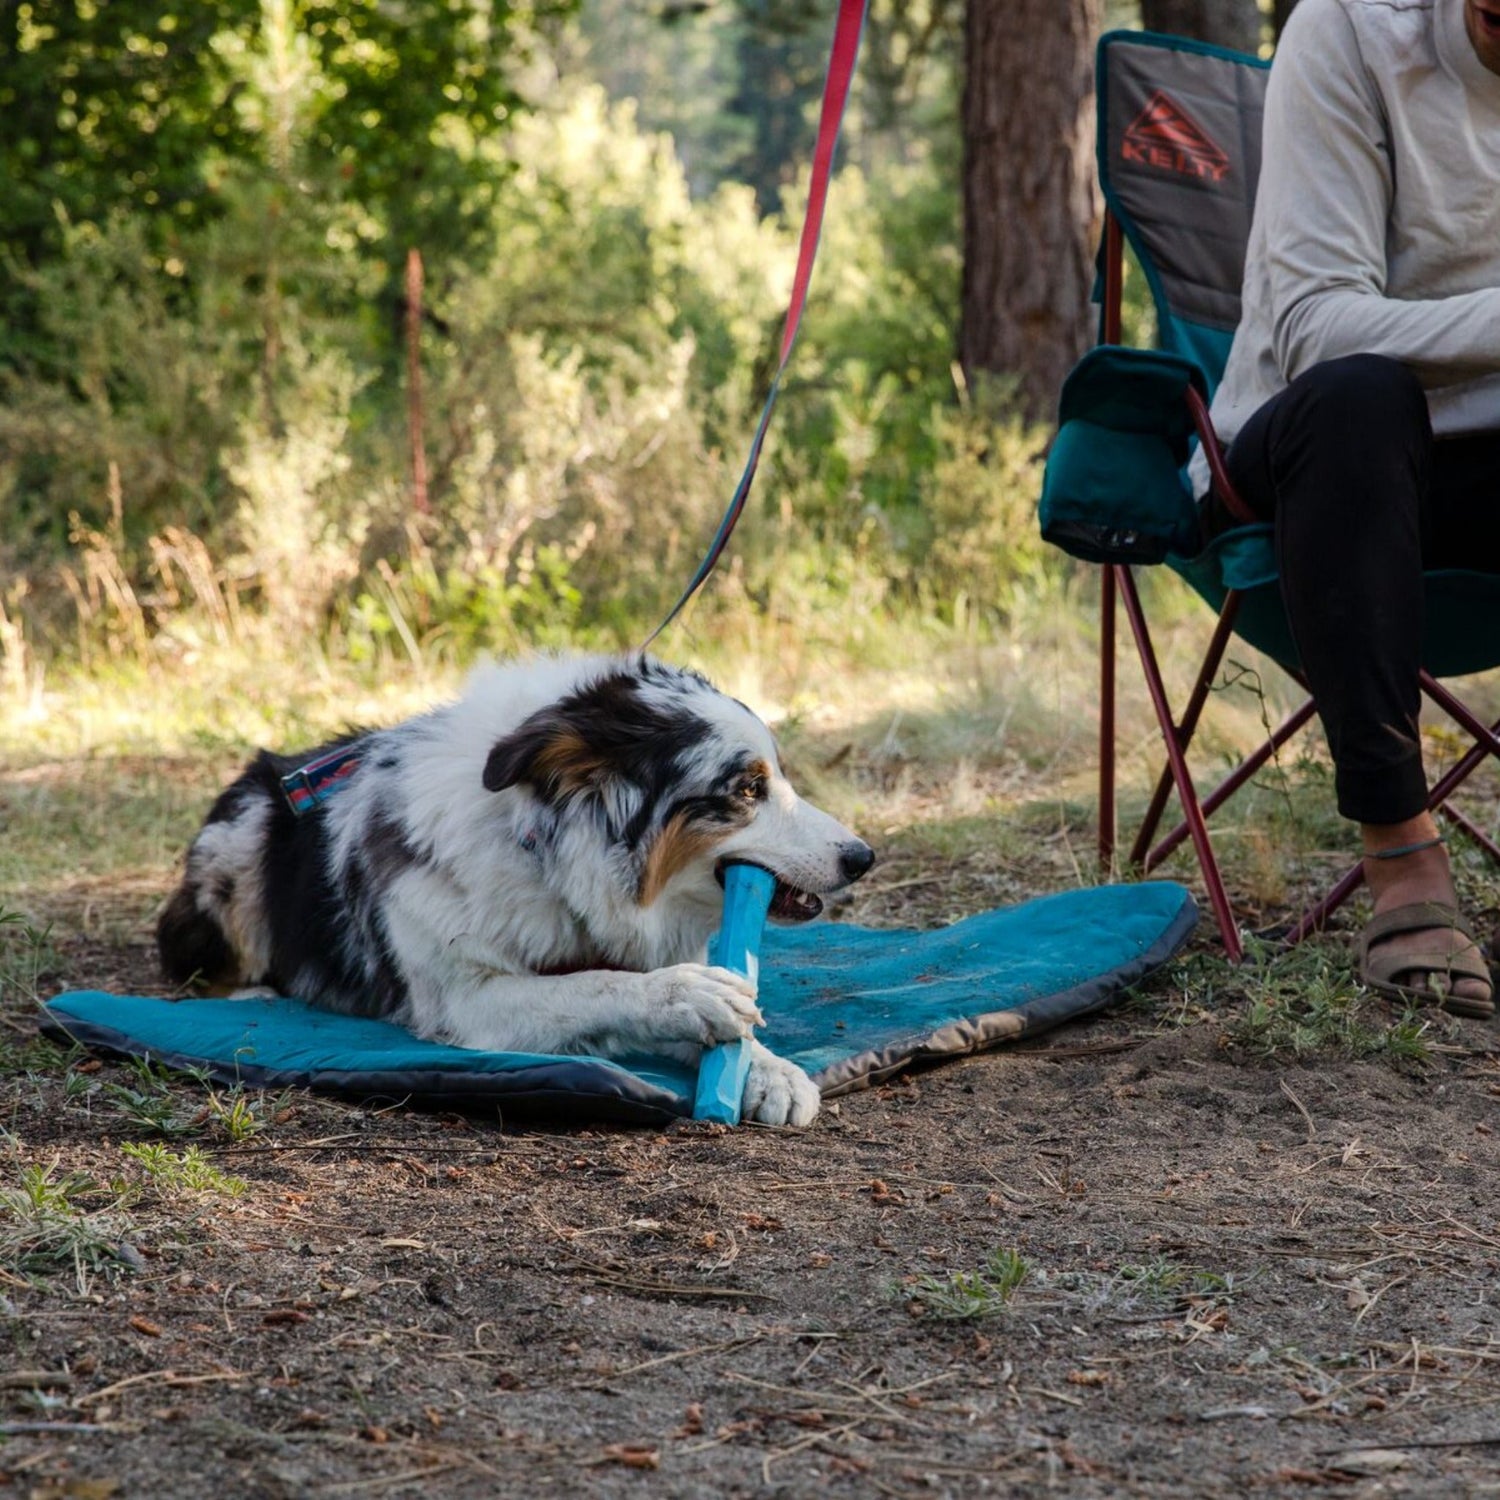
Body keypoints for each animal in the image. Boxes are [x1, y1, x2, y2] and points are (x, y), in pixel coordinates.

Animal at [153, 657, 876, 1128]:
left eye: (780, 776)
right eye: (749, 789)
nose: (863, 858)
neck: (545, 849)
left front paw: (772, 1070)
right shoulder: (466, 1000)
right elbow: (593, 986)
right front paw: (684, 994)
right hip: (238, 842)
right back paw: (254, 992)